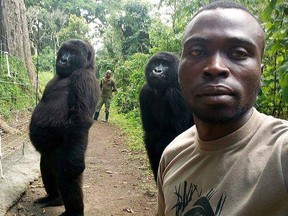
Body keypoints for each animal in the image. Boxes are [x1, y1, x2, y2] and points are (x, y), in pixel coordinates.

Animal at [29, 39, 99, 216]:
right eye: (64, 51)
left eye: (72, 53)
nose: (63, 59)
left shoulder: (84, 78)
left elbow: (80, 120)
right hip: (48, 155)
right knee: (46, 169)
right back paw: (54, 198)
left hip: (65, 154)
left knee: (67, 179)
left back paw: (73, 212)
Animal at [140, 51, 194, 181]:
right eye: (155, 62)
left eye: (165, 64)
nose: (157, 70)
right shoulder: (145, 92)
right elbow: (151, 137)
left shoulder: (175, 95)